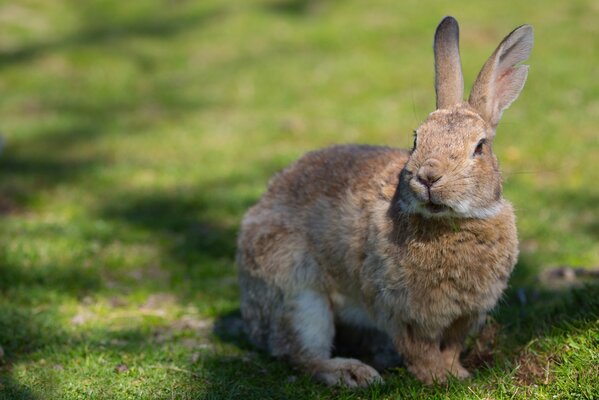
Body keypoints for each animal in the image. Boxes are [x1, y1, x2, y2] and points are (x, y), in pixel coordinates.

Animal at [237, 16, 532, 386]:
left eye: (479, 147)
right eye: (416, 139)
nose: (428, 176)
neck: (449, 224)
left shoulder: (464, 315)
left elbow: (450, 346)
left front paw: (457, 374)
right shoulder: (400, 311)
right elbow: (420, 349)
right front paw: (436, 378)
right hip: (298, 292)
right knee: (301, 353)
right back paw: (353, 373)